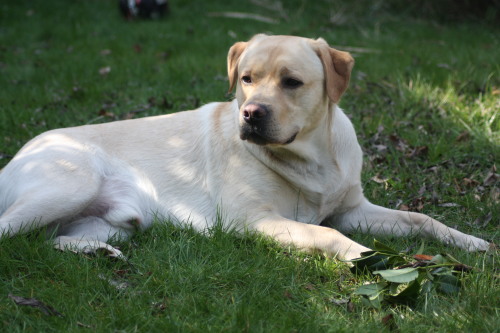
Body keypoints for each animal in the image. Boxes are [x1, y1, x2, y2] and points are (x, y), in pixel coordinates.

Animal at [0, 35, 490, 260]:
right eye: (247, 79)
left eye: (292, 82)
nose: (251, 113)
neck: (312, 160)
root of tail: (17, 156)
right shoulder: (254, 220)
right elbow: (326, 233)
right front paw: (361, 255)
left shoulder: (352, 208)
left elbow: (420, 218)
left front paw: (470, 241)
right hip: (71, 183)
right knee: (10, 231)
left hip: (113, 223)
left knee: (50, 240)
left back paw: (98, 253)